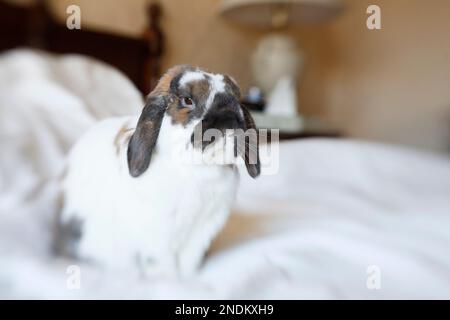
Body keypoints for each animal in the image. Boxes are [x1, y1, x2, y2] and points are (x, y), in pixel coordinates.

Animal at [55, 65, 260, 278]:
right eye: (187, 100)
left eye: (237, 101)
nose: (230, 120)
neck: (197, 170)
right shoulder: (156, 233)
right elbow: (162, 263)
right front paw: (167, 281)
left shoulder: (202, 232)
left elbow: (189, 263)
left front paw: (188, 280)